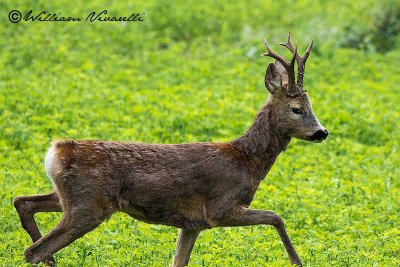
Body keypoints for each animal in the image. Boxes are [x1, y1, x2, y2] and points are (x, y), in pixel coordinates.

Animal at [14, 34, 328, 267]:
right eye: (297, 109)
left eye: (311, 106)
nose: (322, 132)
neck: (247, 162)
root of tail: (55, 151)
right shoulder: (220, 209)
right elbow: (277, 217)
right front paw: (297, 261)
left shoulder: (192, 224)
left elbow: (179, 260)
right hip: (88, 205)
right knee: (34, 250)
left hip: (71, 198)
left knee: (23, 203)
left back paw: (51, 258)